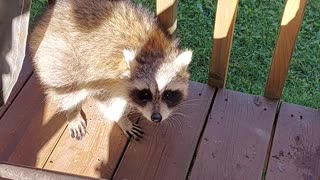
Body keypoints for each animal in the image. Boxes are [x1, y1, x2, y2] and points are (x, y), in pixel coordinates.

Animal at [29, 0, 192, 140]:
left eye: (168, 94)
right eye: (145, 93)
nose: (156, 118)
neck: (154, 49)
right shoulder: (103, 76)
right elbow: (108, 101)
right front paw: (122, 119)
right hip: (59, 57)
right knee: (68, 87)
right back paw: (72, 111)